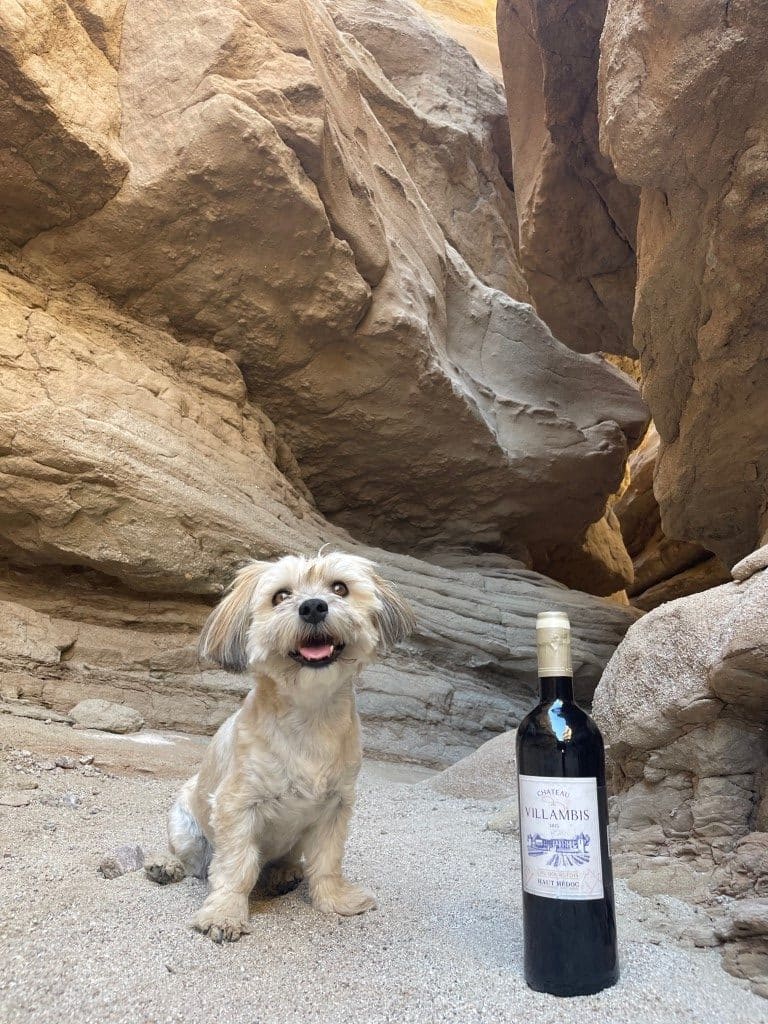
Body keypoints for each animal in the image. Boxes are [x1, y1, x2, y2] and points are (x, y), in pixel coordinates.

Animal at [143, 552, 415, 942]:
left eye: (339, 588)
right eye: (280, 596)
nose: (313, 606)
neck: (309, 718)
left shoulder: (335, 807)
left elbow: (328, 861)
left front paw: (335, 900)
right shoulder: (236, 806)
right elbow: (235, 867)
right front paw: (225, 913)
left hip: (297, 837)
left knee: (287, 859)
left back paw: (283, 873)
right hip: (186, 827)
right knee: (192, 860)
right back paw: (165, 866)